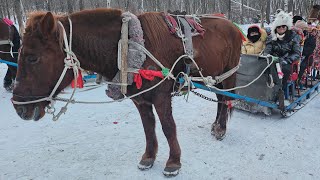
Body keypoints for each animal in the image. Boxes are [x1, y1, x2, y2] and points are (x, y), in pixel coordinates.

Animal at [11, 8, 241, 176]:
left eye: (32, 57)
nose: (18, 107)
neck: (128, 46)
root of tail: (233, 26)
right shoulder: (140, 100)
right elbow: (148, 128)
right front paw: (148, 158)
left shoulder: (161, 96)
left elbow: (168, 127)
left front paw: (174, 161)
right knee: (221, 99)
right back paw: (216, 126)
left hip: (227, 74)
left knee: (225, 99)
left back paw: (221, 128)